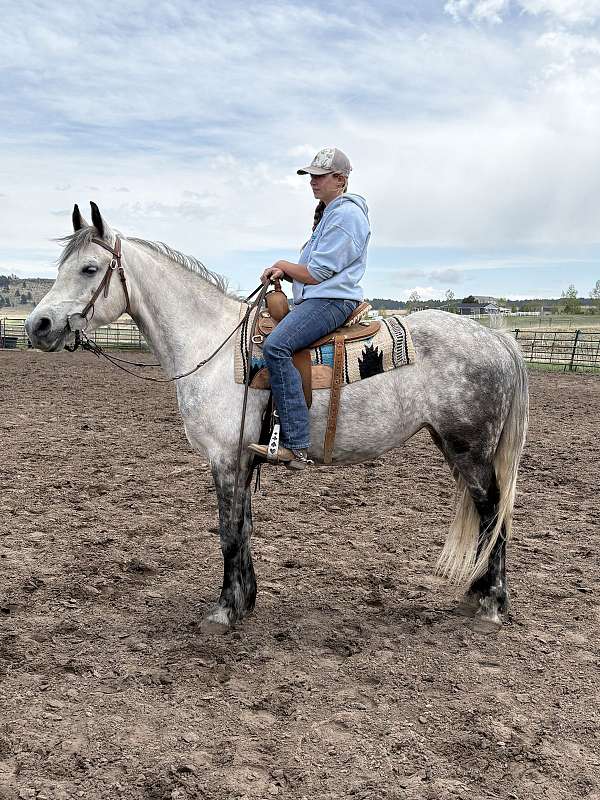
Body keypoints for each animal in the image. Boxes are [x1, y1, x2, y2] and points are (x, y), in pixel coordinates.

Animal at [25, 202, 528, 631]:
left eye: (89, 269)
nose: (38, 326)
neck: (213, 345)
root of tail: (496, 338)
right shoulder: (244, 459)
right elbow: (244, 526)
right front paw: (245, 599)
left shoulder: (225, 458)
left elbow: (228, 530)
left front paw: (224, 611)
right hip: (454, 445)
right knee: (487, 514)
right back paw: (477, 594)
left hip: (470, 449)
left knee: (493, 512)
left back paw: (491, 604)